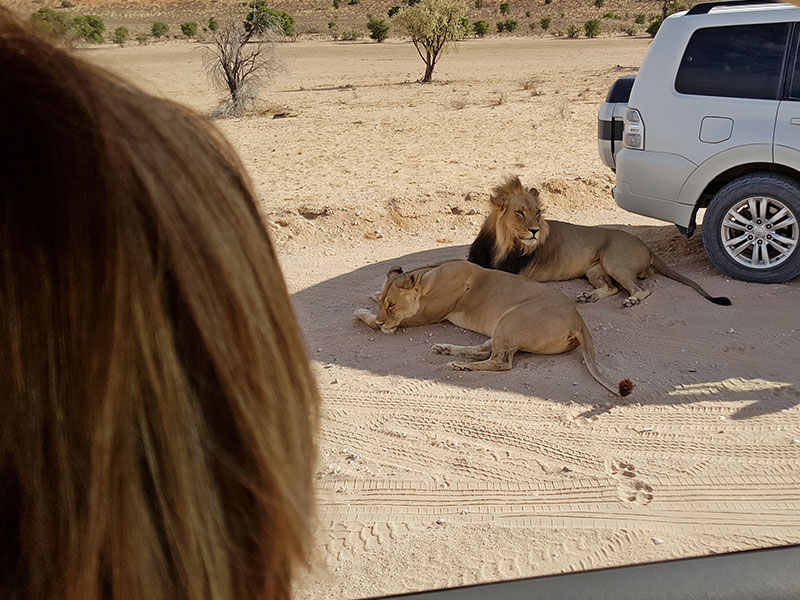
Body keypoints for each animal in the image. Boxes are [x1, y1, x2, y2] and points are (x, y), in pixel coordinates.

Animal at [354, 261, 633, 397]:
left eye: (391, 306)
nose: (383, 320)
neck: (429, 278)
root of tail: (578, 320)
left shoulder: (427, 316)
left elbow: (381, 322)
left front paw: (365, 316)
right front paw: (372, 297)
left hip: (511, 320)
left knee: (501, 361)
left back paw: (458, 365)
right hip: (501, 327)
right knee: (485, 351)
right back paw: (446, 350)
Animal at [467, 176, 731, 308]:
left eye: (538, 213)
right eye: (520, 213)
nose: (535, 231)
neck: (503, 244)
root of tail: (647, 247)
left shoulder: (517, 275)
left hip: (615, 262)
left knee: (640, 289)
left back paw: (631, 300)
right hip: (594, 271)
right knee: (612, 288)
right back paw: (588, 297)